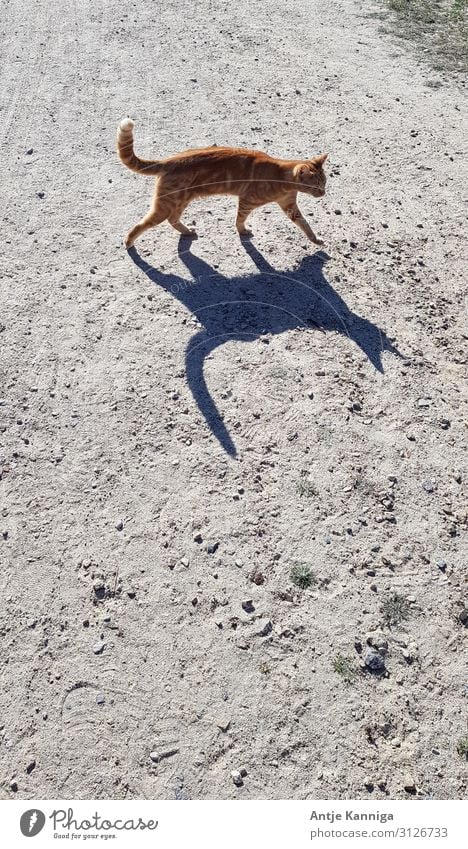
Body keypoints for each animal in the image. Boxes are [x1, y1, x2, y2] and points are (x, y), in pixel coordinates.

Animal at [117, 121, 330, 250]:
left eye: (325, 183)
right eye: (316, 186)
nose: (323, 194)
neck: (282, 177)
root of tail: (169, 160)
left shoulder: (290, 206)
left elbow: (304, 224)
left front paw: (315, 239)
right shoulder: (247, 200)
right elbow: (240, 219)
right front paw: (242, 231)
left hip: (181, 201)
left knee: (173, 219)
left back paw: (186, 231)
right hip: (166, 204)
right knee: (142, 224)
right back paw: (128, 242)